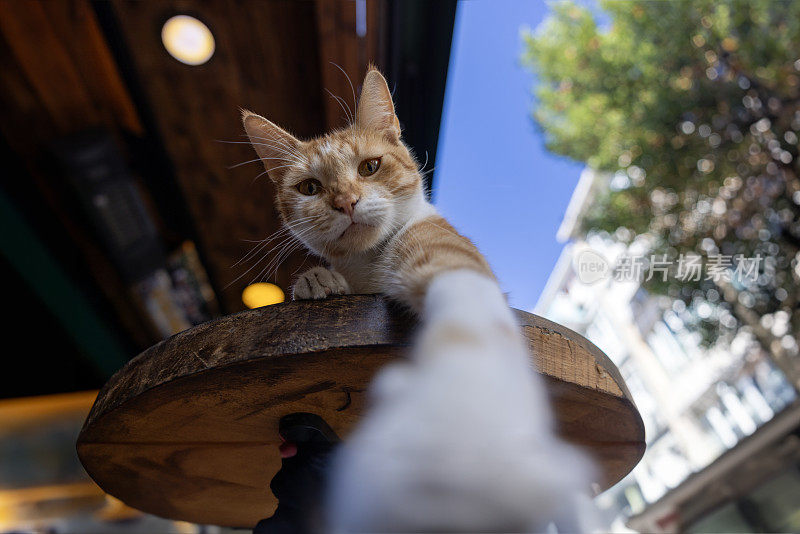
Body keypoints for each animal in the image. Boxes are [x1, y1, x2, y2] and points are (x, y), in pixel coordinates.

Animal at [244, 69, 600, 532]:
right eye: (310, 187)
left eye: (370, 167)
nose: (345, 202)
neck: (369, 268)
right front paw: (318, 280)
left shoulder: (450, 258)